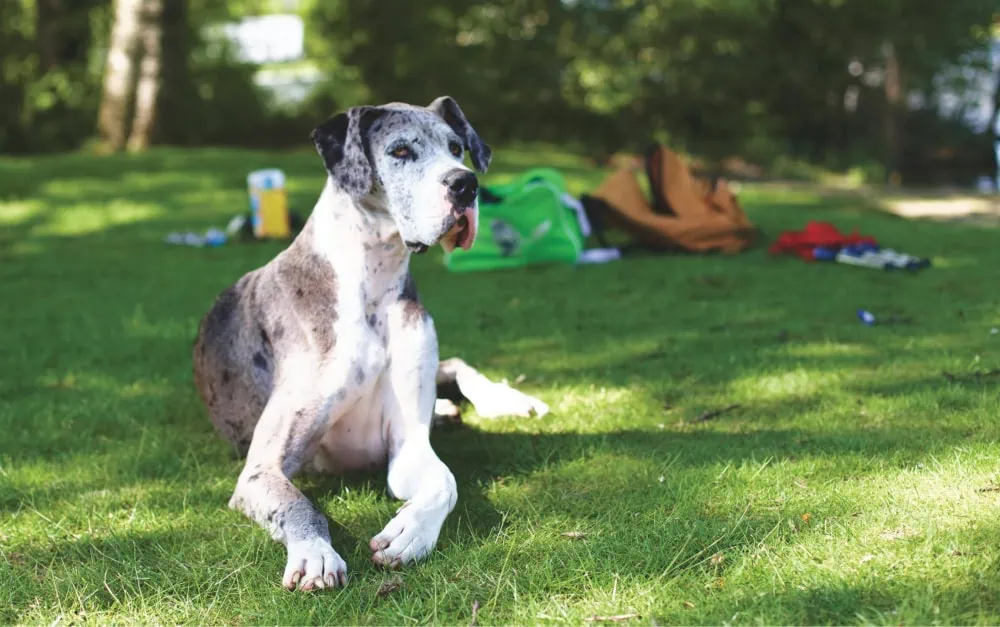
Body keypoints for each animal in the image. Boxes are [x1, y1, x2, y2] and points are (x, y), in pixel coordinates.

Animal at [191, 98, 552, 592]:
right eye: (400, 150)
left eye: (456, 148)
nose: (465, 183)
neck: (373, 283)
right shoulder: (261, 469)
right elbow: (299, 505)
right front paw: (315, 553)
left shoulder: (408, 446)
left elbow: (445, 481)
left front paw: (411, 532)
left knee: (457, 365)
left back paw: (504, 400)